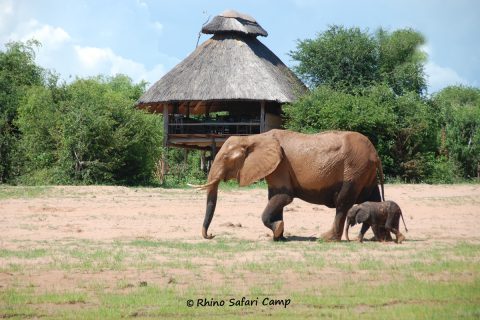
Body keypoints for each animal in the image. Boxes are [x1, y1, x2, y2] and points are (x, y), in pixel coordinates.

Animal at [193, 129, 384, 241]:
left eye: (226, 158)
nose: (211, 235)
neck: (253, 138)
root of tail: (375, 154)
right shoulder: (275, 167)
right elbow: (276, 198)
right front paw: (279, 237)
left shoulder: (280, 165)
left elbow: (283, 197)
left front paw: (278, 231)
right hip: (364, 172)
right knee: (373, 200)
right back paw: (377, 238)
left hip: (354, 170)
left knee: (343, 202)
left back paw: (327, 238)